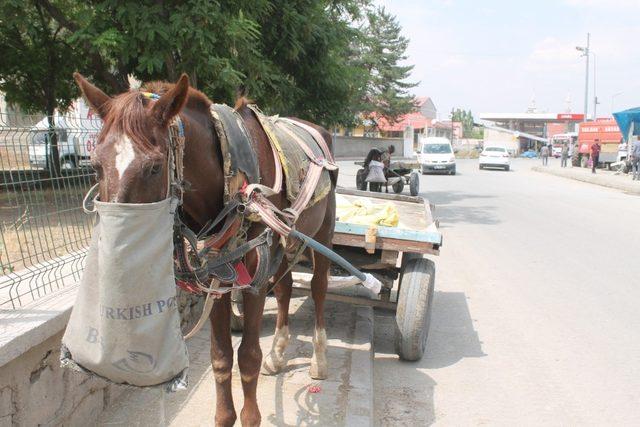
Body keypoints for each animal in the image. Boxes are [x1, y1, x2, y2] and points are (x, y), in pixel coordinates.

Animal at [74, 72, 336, 426]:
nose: (115, 256)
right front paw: (225, 415)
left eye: (154, 167)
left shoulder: (253, 281)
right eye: (95, 165)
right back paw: (278, 353)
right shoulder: (216, 278)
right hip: (286, 241)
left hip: (323, 234)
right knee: (284, 288)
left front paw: (250, 416)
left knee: (319, 287)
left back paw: (319, 359)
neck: (231, 178)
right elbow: (221, 358)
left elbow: (248, 357)